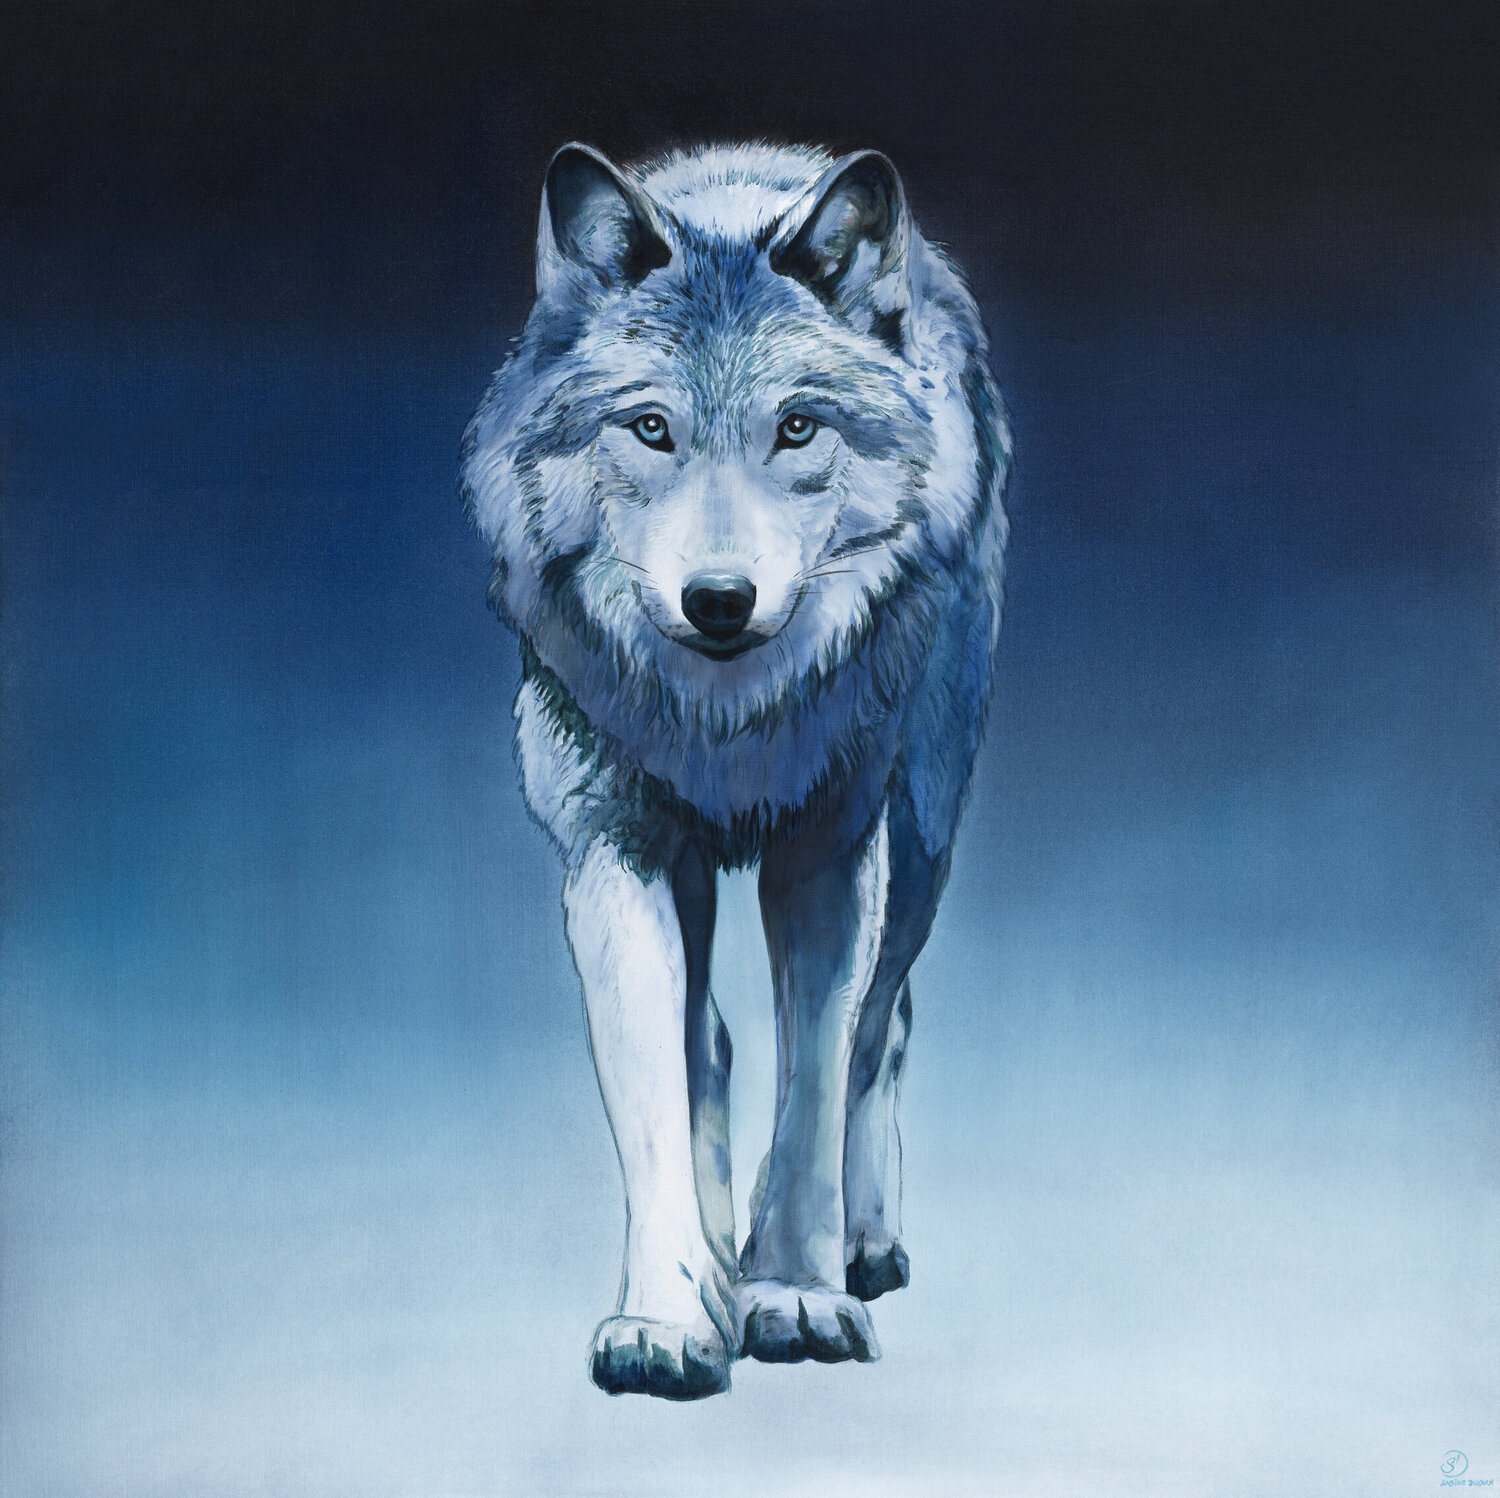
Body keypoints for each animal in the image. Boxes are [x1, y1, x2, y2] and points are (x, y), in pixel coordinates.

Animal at [461, 140, 1010, 1400]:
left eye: (797, 428)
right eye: (651, 428)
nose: (719, 600)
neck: (728, 726)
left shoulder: (831, 853)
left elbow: (812, 1086)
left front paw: (795, 1291)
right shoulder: (614, 846)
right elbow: (659, 1093)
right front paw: (670, 1313)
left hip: (925, 834)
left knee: (882, 1028)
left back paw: (859, 1244)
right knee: (708, 1045)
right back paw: (718, 1252)